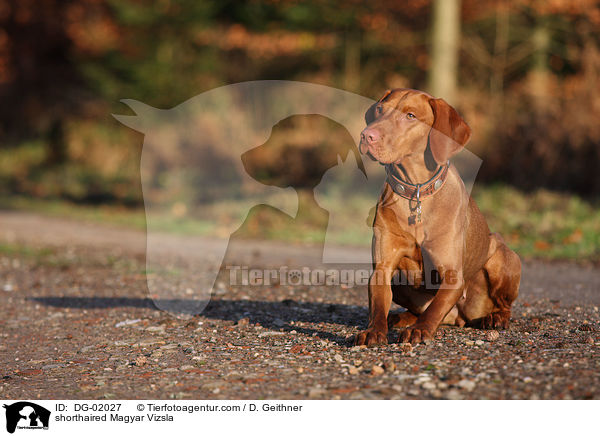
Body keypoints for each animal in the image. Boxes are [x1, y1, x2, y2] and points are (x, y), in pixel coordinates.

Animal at [356, 89, 520, 348]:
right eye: (380, 110)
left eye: (410, 115)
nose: (366, 135)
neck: (416, 191)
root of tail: (461, 317)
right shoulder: (382, 268)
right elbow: (378, 305)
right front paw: (373, 330)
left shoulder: (452, 275)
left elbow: (437, 306)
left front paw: (420, 330)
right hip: (400, 281)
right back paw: (402, 318)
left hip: (503, 255)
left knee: (503, 305)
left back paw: (495, 318)